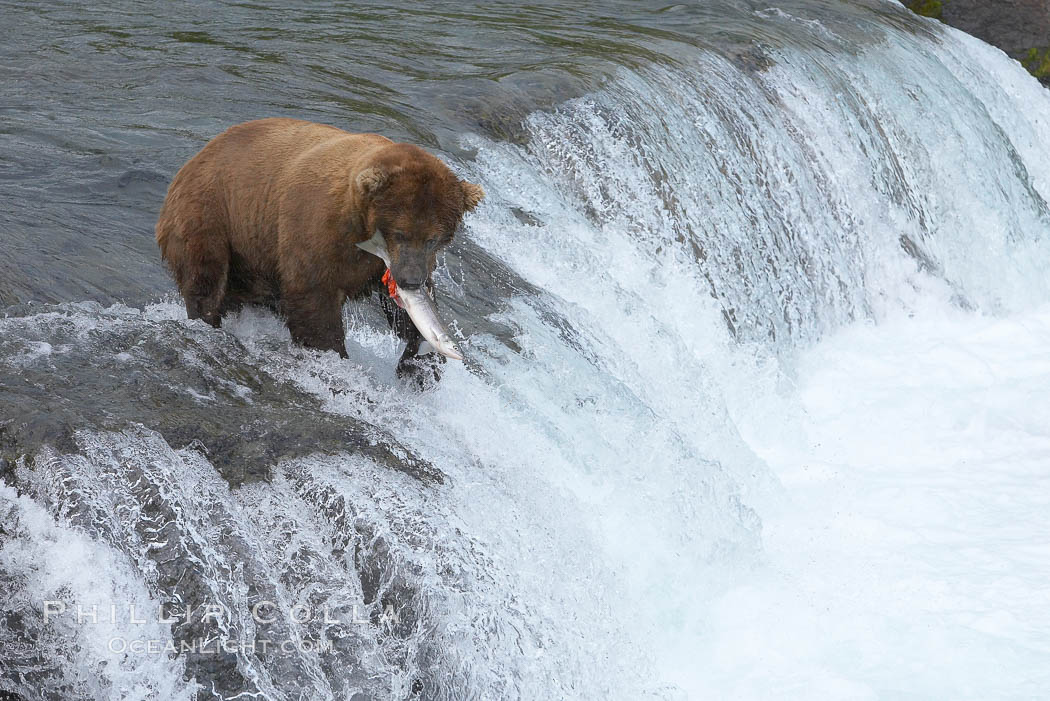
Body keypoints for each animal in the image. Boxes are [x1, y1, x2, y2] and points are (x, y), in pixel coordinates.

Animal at [155, 117, 482, 379]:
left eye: (433, 238)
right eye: (400, 233)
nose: (411, 280)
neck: (361, 228)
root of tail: (194, 159)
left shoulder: (381, 265)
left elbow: (406, 317)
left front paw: (419, 366)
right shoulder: (318, 232)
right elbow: (313, 301)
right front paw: (334, 355)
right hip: (213, 216)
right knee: (206, 279)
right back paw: (208, 319)